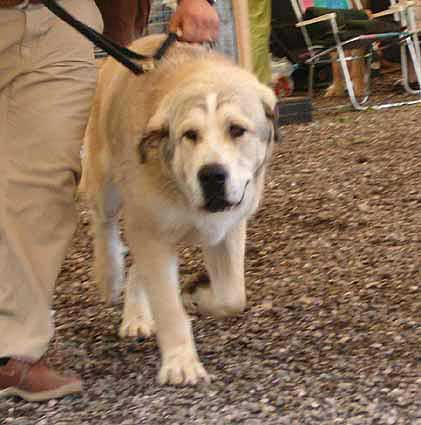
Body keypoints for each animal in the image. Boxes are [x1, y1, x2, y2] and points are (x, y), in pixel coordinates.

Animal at [80, 34, 278, 384]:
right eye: (190, 135)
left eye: (236, 130)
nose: (211, 175)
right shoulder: (150, 231)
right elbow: (169, 307)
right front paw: (180, 363)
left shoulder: (228, 228)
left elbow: (232, 296)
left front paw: (197, 296)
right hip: (106, 184)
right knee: (104, 228)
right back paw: (109, 276)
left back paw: (136, 316)